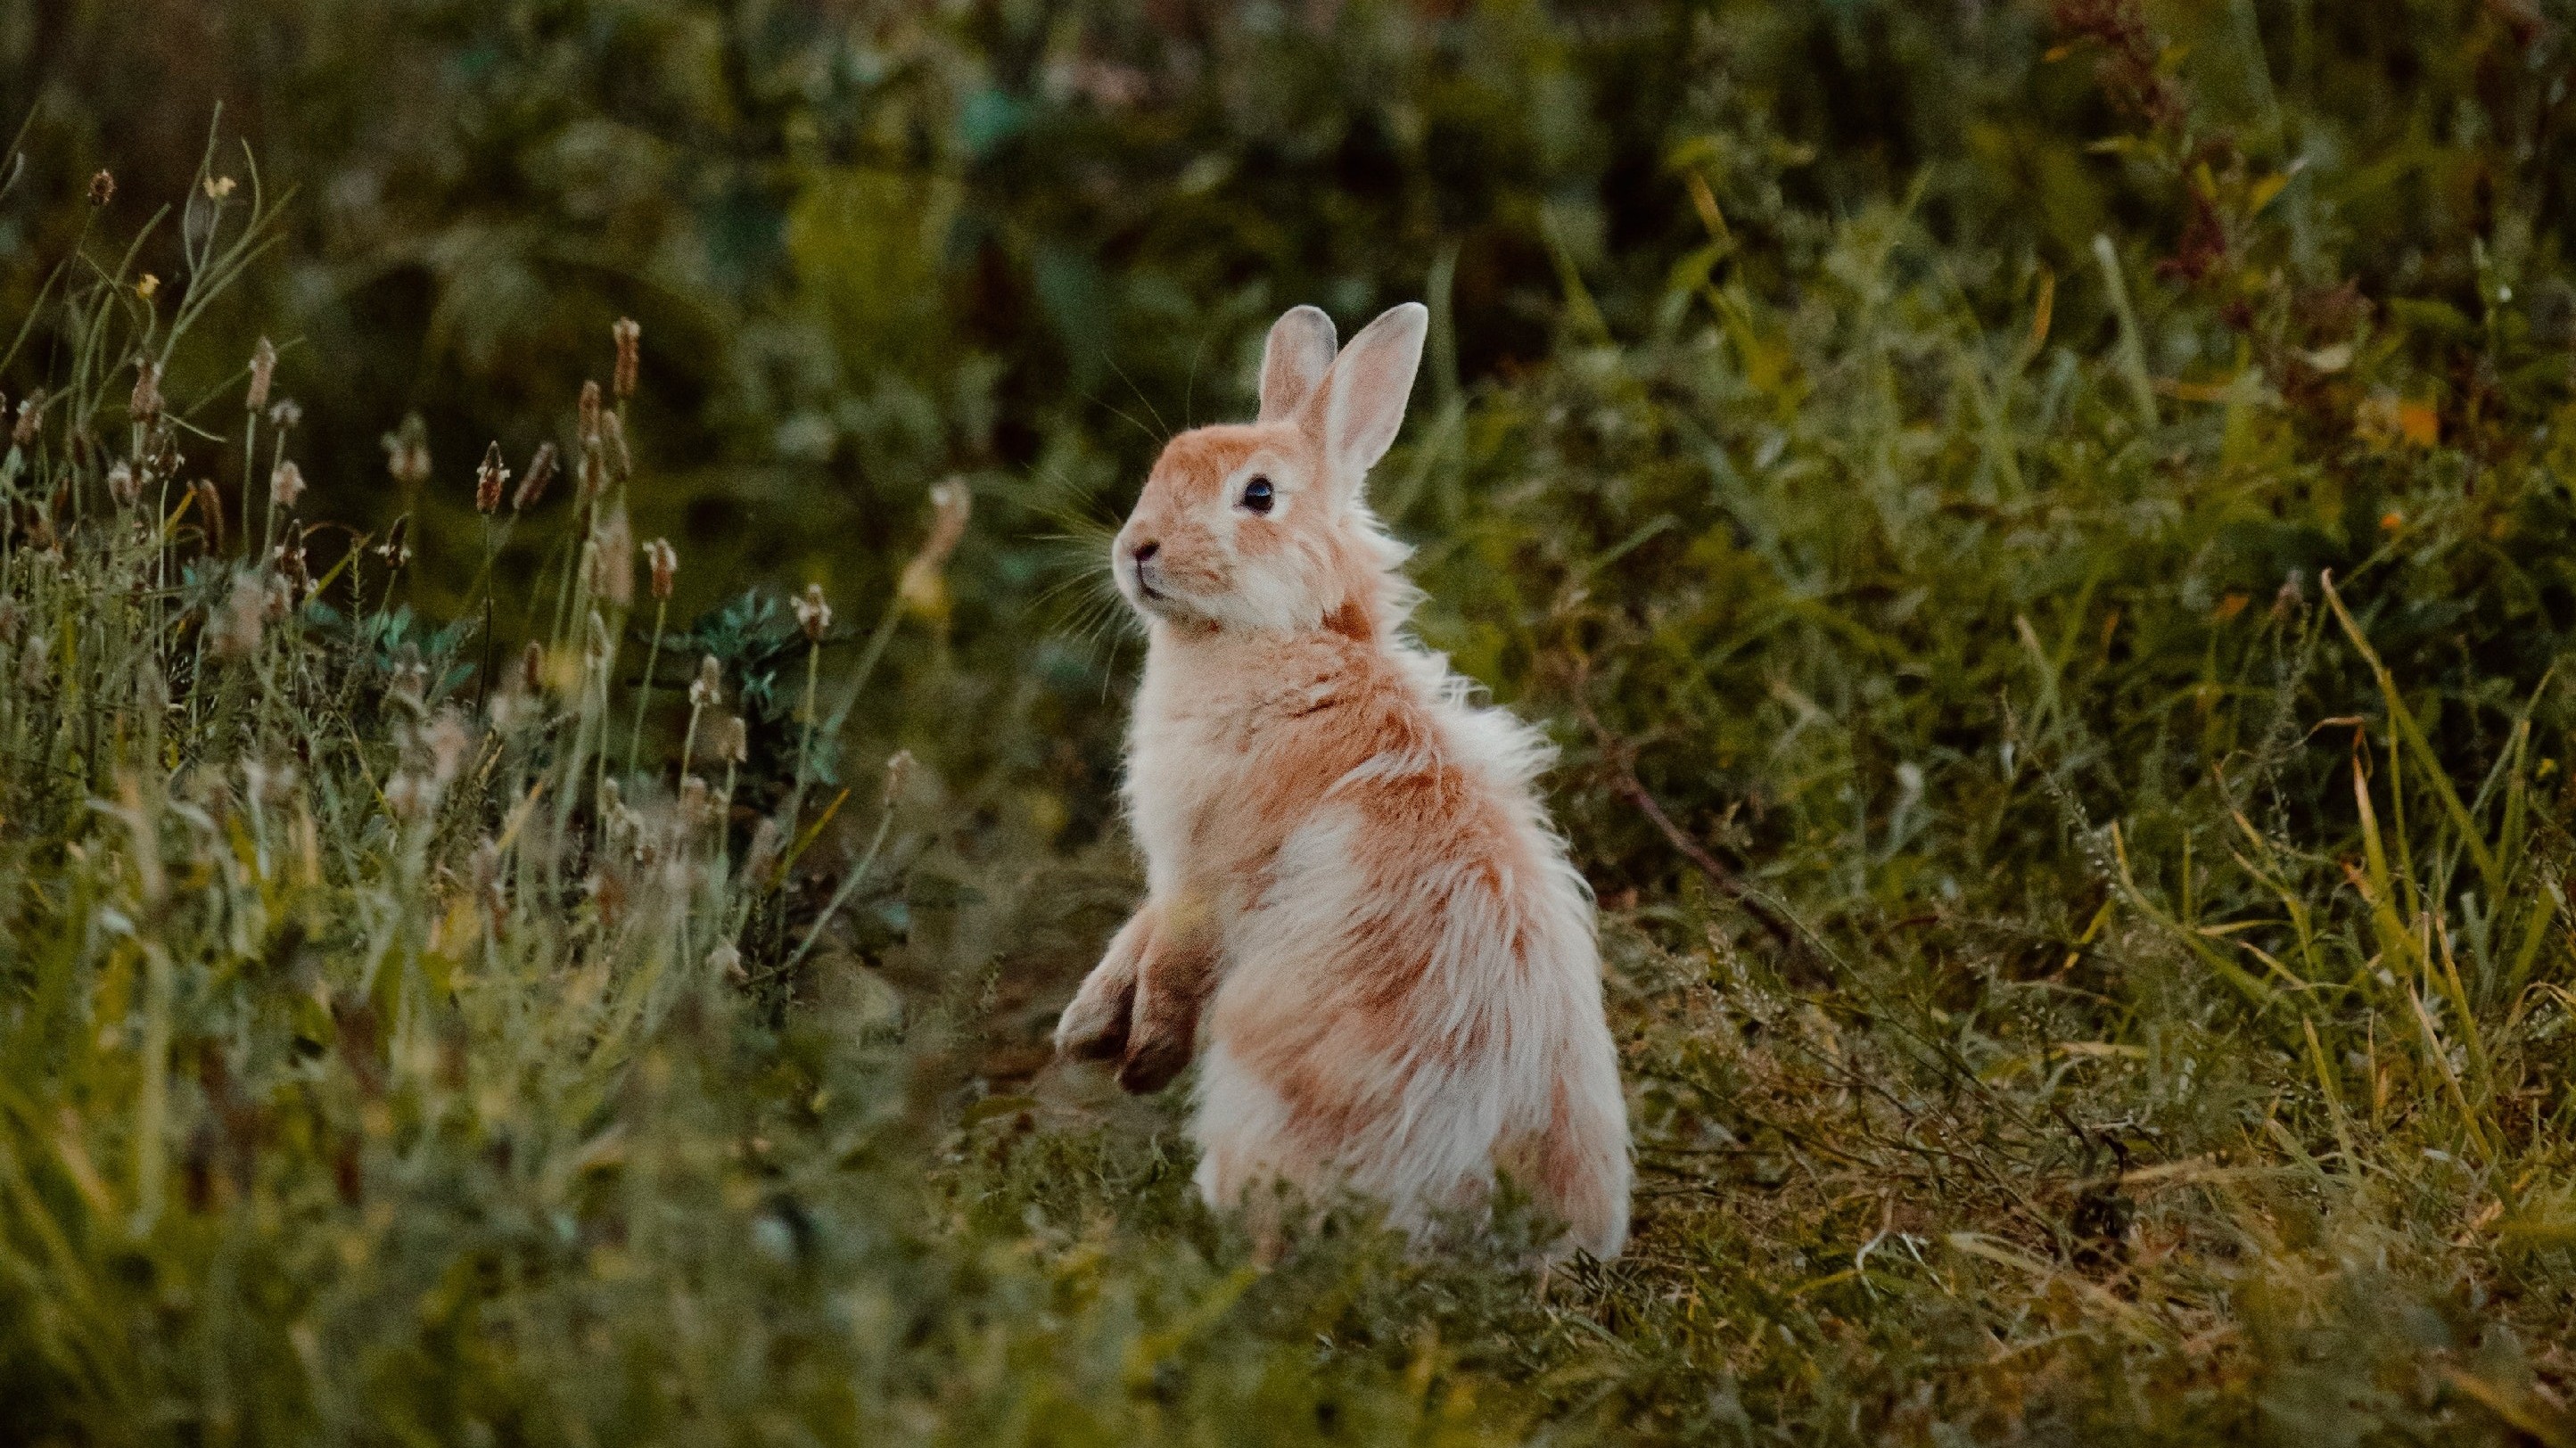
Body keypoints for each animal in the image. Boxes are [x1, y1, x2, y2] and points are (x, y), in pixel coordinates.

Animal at [1053, 302, 1630, 1262]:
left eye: (1257, 496)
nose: (1137, 550)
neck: (1289, 639)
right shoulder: (1173, 871)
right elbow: (1133, 937)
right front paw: (1084, 1031)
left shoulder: (1204, 872)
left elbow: (1171, 961)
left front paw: (1140, 1060)